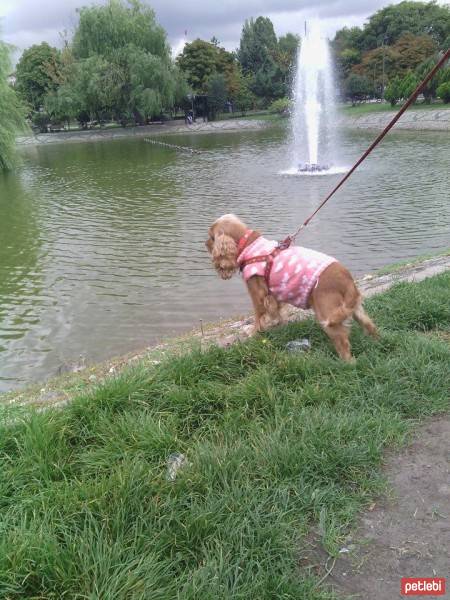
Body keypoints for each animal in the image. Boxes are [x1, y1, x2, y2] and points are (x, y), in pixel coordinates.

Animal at [206, 213, 378, 360]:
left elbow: (258, 315)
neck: (248, 244)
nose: (205, 243)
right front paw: (278, 324)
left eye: (211, 237)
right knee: (370, 324)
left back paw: (346, 362)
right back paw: (376, 342)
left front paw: (253, 332)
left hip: (327, 314)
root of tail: (347, 278)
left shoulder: (258, 294)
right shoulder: (273, 294)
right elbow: (276, 312)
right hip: (355, 309)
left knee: (343, 343)